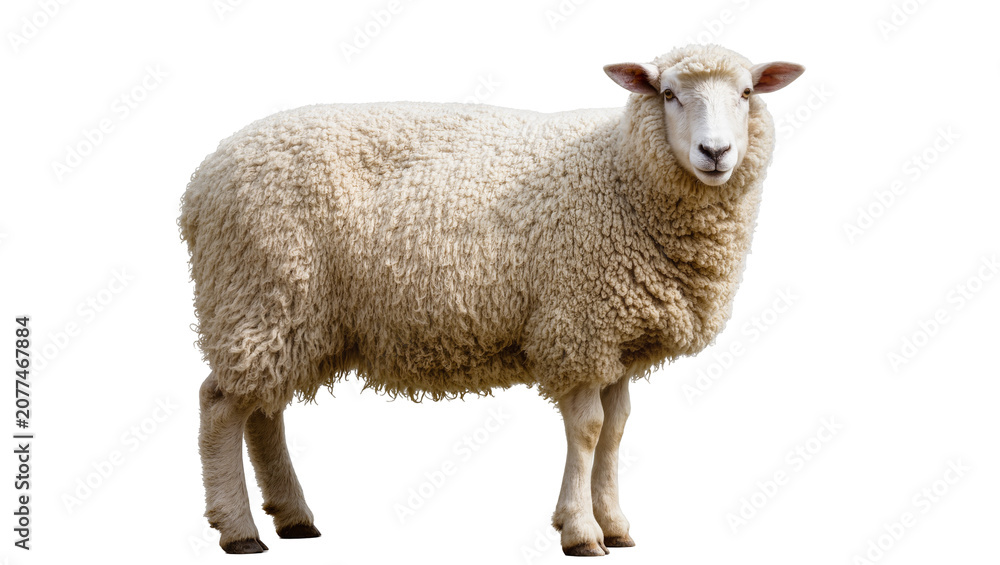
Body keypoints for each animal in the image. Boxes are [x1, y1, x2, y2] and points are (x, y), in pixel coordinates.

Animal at [179, 43, 803, 555]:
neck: (621, 171)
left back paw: (293, 518)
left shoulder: (618, 338)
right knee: (220, 405)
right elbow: (589, 430)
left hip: (288, 312)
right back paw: (238, 530)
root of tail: (200, 181)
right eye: (669, 94)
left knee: (264, 410)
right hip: (260, 289)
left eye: (747, 93)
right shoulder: (577, 325)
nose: (715, 152)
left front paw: (615, 524)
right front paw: (581, 531)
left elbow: (617, 430)